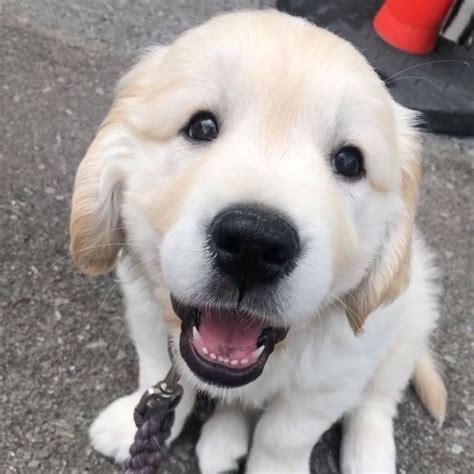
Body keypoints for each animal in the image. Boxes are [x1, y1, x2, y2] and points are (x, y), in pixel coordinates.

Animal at [68, 9, 446, 472]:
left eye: (349, 161)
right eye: (201, 126)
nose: (254, 244)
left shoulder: (336, 374)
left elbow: (284, 435)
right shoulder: (147, 315)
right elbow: (158, 371)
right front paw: (132, 425)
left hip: (411, 315)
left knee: (377, 400)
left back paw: (369, 455)